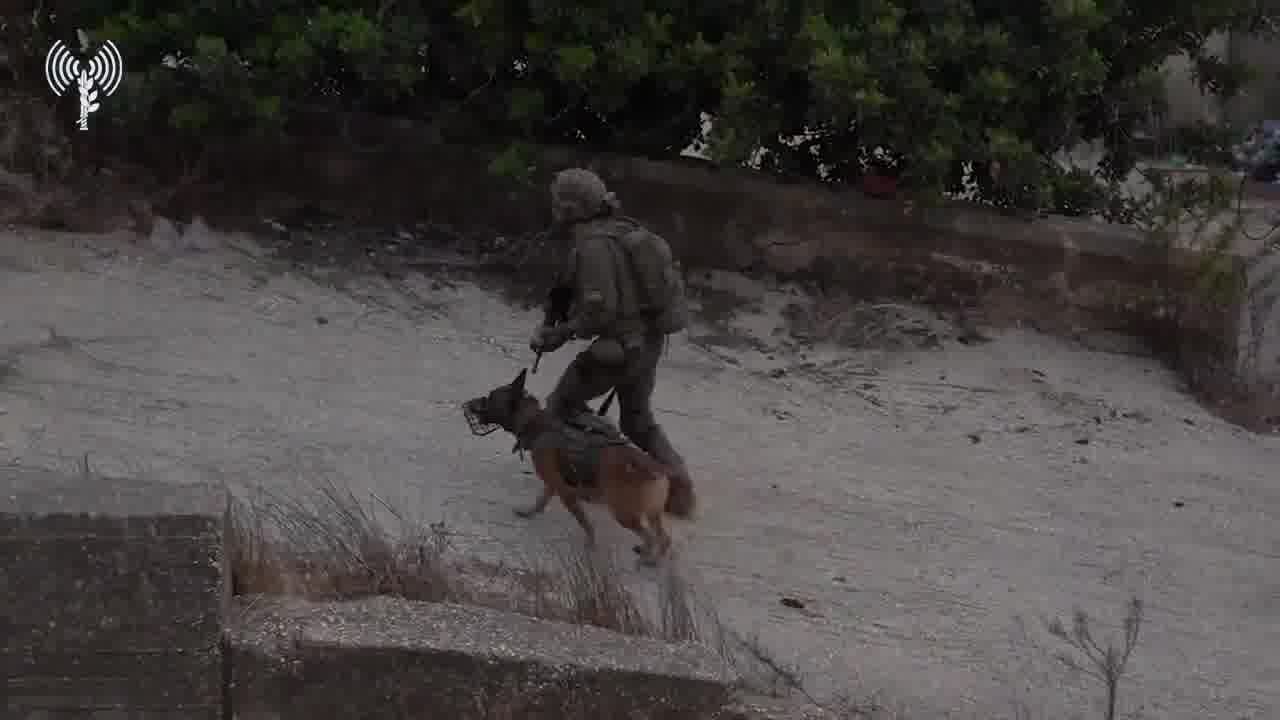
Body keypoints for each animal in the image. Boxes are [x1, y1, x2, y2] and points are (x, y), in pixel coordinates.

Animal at [463, 366, 680, 563]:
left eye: (490, 398)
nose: (470, 404)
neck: (536, 423)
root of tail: (656, 468)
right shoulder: (553, 483)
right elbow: (541, 499)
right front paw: (530, 512)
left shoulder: (567, 494)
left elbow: (586, 524)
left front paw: (590, 545)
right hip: (651, 514)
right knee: (664, 538)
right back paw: (654, 560)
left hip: (624, 514)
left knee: (650, 537)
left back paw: (646, 556)